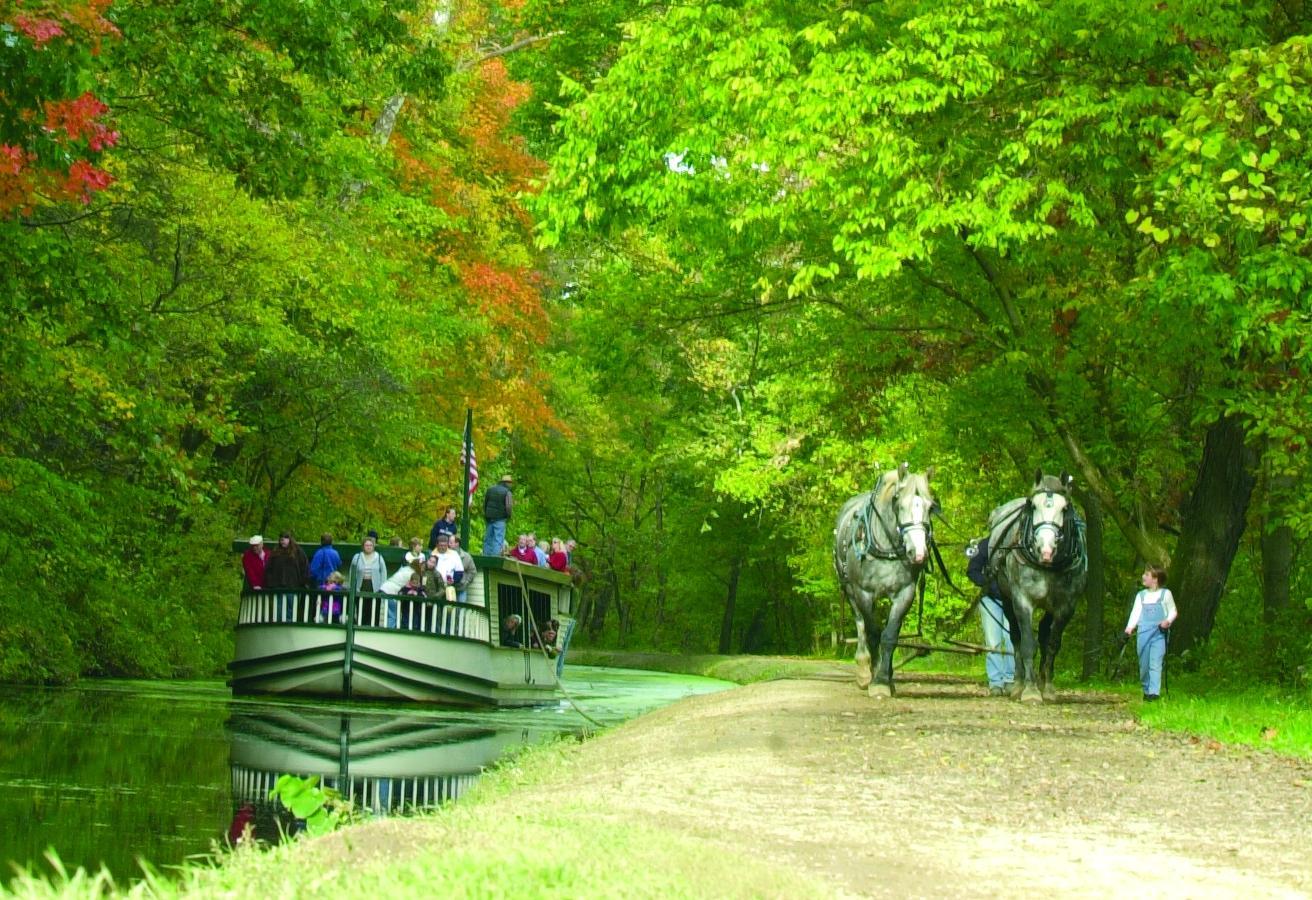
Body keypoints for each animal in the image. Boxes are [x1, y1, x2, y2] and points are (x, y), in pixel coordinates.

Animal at [834, 464, 939, 697]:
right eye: (900, 505)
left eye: (930, 507)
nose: (918, 553)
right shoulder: (863, 592)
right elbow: (873, 633)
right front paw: (875, 679)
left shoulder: (905, 593)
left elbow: (890, 634)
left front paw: (884, 678)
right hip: (850, 591)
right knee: (861, 624)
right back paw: (864, 670)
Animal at [986, 472, 1086, 703]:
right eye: (1033, 506)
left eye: (1065, 508)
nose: (1045, 548)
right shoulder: (1022, 600)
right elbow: (1027, 644)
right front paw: (1030, 690)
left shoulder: (1066, 605)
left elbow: (1052, 644)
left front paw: (1047, 687)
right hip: (1006, 599)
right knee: (1016, 637)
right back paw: (1018, 683)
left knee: (1043, 632)